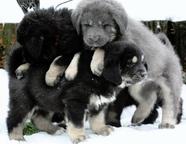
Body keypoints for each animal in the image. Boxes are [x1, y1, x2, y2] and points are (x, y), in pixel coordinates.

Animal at [6, 40, 147, 143]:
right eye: (129, 63)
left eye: (141, 61)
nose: (144, 74)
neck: (98, 77)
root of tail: (16, 68)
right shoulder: (75, 101)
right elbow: (77, 123)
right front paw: (79, 137)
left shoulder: (99, 102)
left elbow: (98, 119)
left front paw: (101, 130)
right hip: (24, 101)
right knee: (14, 120)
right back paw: (16, 138)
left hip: (47, 99)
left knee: (38, 118)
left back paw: (54, 130)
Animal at [72, 0, 183, 128]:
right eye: (87, 25)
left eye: (105, 25)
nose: (93, 39)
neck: (117, 35)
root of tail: (171, 52)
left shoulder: (124, 44)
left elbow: (103, 47)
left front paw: (96, 63)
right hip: (137, 83)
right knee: (150, 97)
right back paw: (138, 117)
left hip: (168, 83)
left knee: (171, 103)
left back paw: (167, 123)